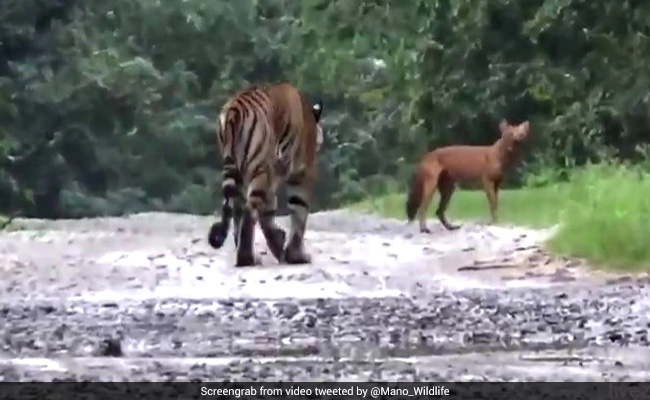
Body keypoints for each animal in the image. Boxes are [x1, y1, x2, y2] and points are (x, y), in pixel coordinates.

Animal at [207, 81, 324, 267]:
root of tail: (234, 109)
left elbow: (268, 212)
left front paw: (279, 244)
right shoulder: (301, 172)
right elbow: (299, 212)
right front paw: (296, 255)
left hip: (239, 171)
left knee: (237, 210)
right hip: (261, 169)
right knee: (249, 212)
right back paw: (247, 258)